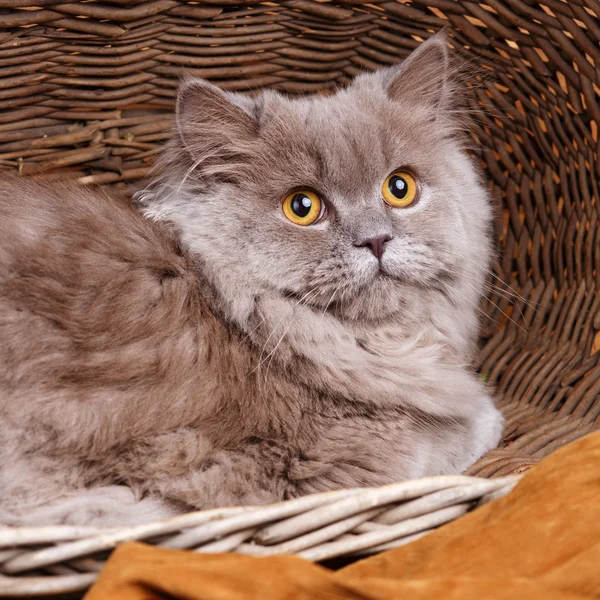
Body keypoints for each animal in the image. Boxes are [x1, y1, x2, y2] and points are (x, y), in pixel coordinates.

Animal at [0, 35, 502, 528]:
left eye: (400, 189)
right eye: (302, 207)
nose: (375, 240)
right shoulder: (338, 463)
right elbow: (463, 432)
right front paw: (488, 413)